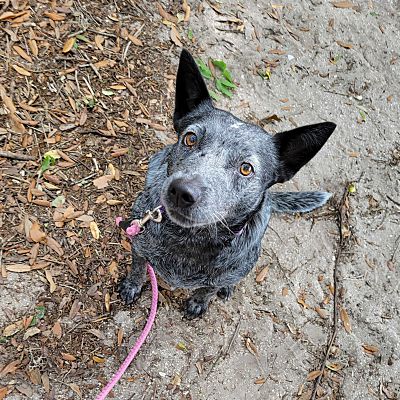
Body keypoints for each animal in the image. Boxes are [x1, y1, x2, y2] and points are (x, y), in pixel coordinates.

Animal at [119, 49, 338, 318]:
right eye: (190, 138)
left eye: (246, 168)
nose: (181, 191)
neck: (187, 239)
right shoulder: (139, 243)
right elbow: (139, 268)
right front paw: (132, 285)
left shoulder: (226, 272)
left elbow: (209, 288)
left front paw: (200, 301)